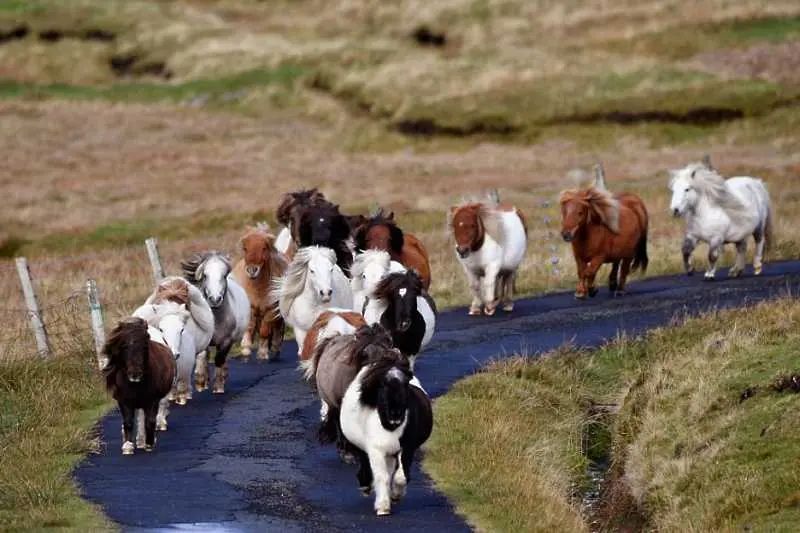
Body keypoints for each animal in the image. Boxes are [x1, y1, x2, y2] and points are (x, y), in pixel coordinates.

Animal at [101, 318, 175, 456]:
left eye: (145, 346)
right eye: (124, 346)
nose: (135, 374)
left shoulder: (152, 400)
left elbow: (150, 421)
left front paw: (149, 444)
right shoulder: (124, 401)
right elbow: (128, 421)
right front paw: (128, 446)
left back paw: (142, 441)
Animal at [181, 251, 250, 392]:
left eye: (223, 276)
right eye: (205, 275)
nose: (215, 299)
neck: (216, 319)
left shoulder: (226, 341)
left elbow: (219, 359)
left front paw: (218, 386)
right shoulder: (203, 339)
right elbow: (202, 357)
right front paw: (200, 383)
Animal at [231, 220, 288, 362]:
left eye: (264, 248)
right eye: (245, 248)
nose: (252, 270)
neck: (258, 289)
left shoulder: (271, 310)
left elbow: (264, 331)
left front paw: (262, 353)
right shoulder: (250, 308)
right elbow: (250, 328)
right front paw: (246, 349)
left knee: (277, 328)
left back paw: (275, 349)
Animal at [340, 344, 434, 516]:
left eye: (406, 384)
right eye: (383, 384)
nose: (396, 414)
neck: (389, 426)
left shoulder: (407, 447)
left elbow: (401, 476)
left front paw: (395, 496)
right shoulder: (375, 450)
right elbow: (381, 476)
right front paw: (383, 506)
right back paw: (366, 486)